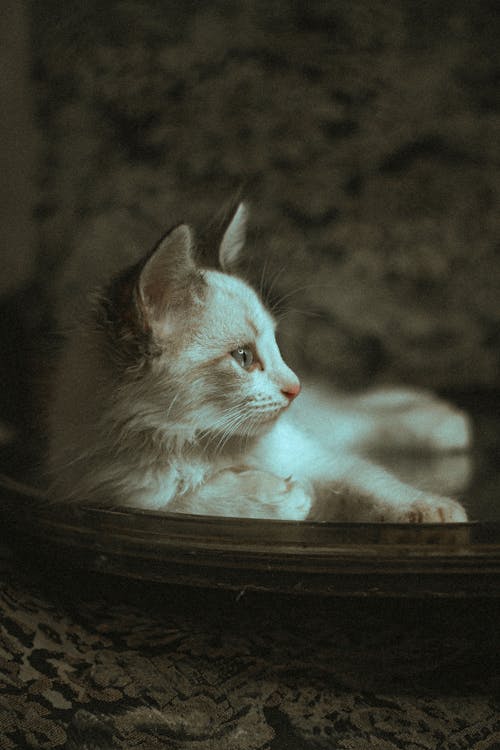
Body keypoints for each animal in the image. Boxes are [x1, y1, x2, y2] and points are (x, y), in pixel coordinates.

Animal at [46, 206, 468, 524]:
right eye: (244, 357)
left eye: (275, 345)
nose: (294, 387)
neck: (199, 445)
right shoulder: (106, 492)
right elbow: (183, 502)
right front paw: (279, 498)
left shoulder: (319, 459)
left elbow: (372, 483)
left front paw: (433, 511)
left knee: (356, 415)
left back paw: (442, 420)